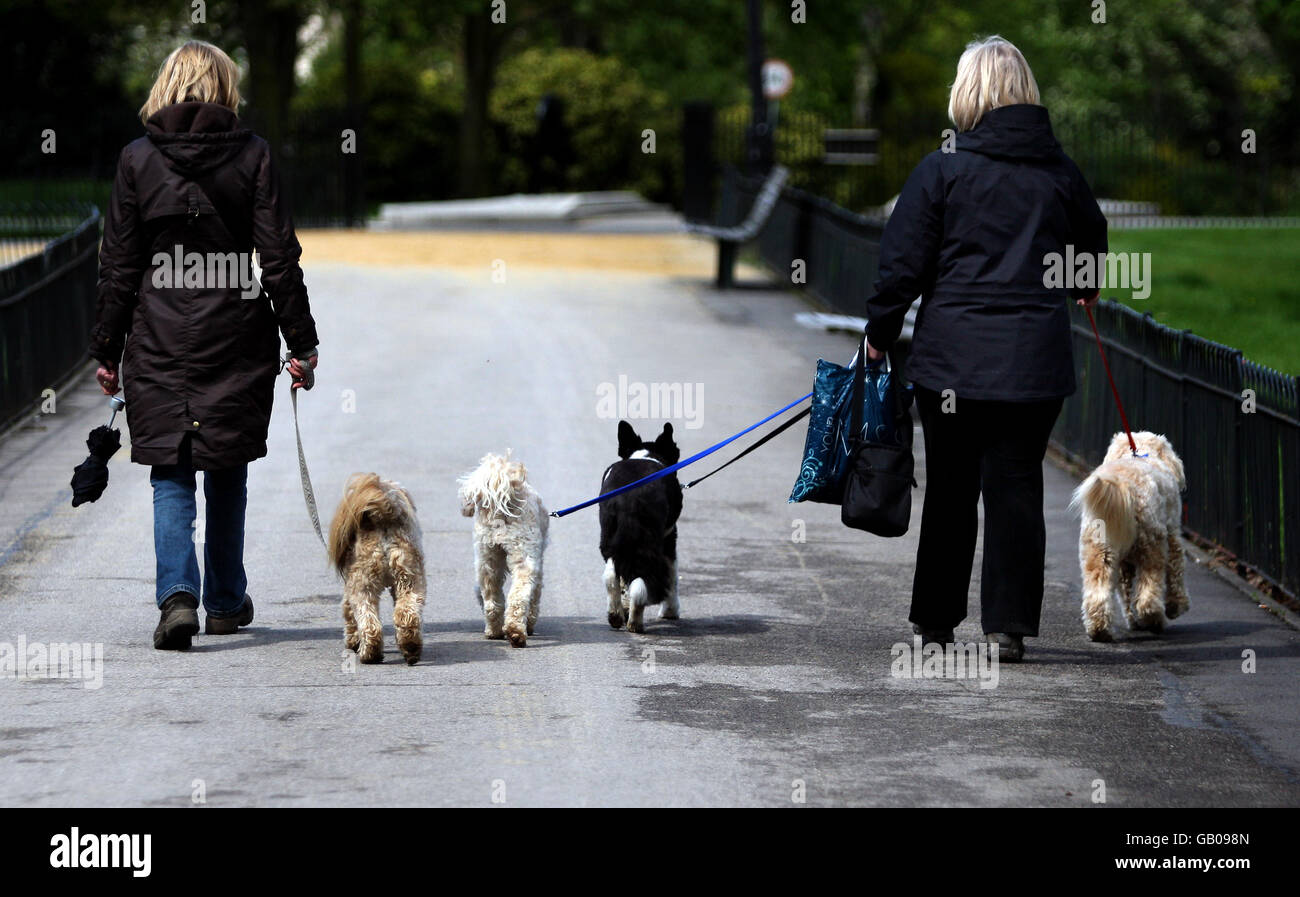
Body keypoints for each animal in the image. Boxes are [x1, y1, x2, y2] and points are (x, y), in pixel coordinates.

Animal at [327, 470, 428, 660]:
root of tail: (384, 517)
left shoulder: (350, 590)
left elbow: (349, 614)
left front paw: (352, 641)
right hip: (410, 578)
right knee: (406, 613)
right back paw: (410, 647)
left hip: (362, 583)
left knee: (368, 621)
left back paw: (370, 654)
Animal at [457, 449, 548, 647]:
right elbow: (535, 595)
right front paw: (531, 622)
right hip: (524, 554)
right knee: (520, 594)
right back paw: (516, 631)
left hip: (487, 558)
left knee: (492, 599)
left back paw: (497, 631)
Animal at [1066, 428, 1190, 639]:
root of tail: (1125, 486)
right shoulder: (1173, 538)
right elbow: (1176, 573)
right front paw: (1176, 607)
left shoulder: (1124, 563)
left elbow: (1126, 593)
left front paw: (1133, 621)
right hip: (1152, 546)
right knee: (1149, 591)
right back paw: (1153, 619)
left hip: (1099, 552)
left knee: (1098, 593)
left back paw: (1099, 629)